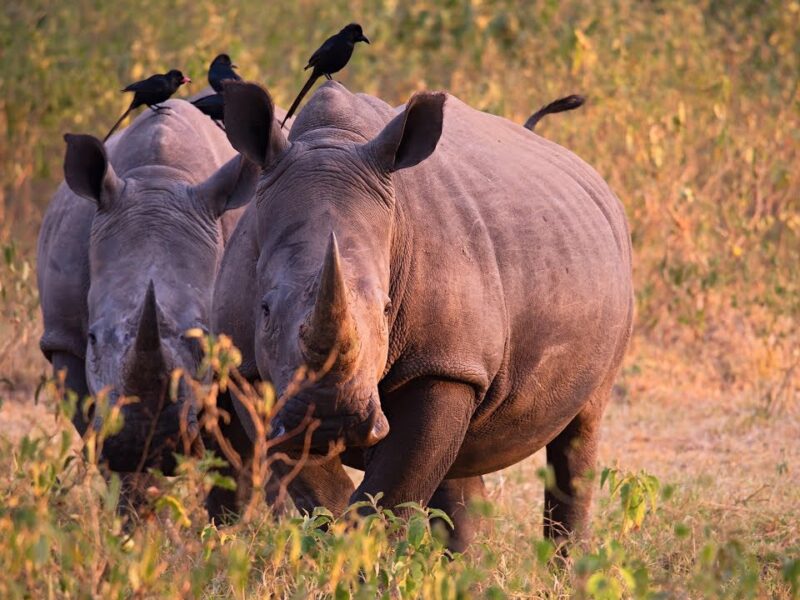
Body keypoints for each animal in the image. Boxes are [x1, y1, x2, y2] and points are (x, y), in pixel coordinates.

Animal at [35, 99, 295, 473]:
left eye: (204, 343)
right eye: (92, 338)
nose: (144, 444)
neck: (158, 177)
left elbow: (234, 453)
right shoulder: (64, 339)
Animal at [211, 80, 631, 550]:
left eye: (386, 310)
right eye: (264, 310)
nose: (332, 416)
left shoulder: (442, 364)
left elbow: (392, 492)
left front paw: (359, 553)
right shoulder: (247, 369)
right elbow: (315, 488)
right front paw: (336, 541)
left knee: (581, 429)